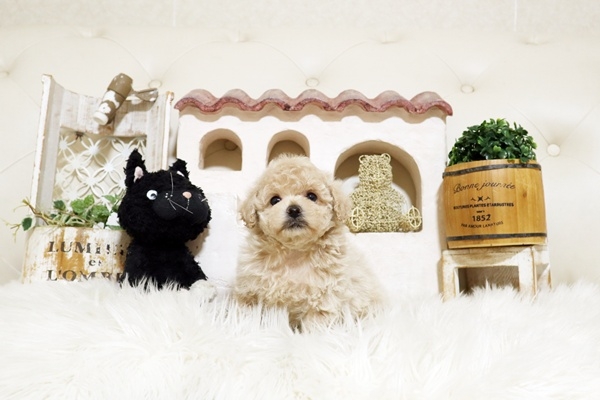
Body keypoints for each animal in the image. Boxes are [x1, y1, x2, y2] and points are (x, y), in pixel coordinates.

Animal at [232, 154, 383, 330]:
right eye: (274, 200)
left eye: (312, 196)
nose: (293, 209)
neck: (294, 251)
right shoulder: (250, 292)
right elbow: (249, 315)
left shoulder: (324, 297)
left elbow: (315, 325)